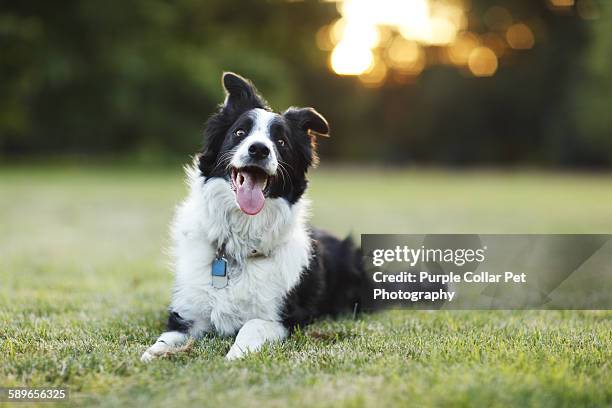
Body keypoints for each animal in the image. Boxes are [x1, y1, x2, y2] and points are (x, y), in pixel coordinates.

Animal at [141, 71, 368, 362]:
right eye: (240, 132)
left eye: (281, 142)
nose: (259, 149)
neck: (238, 246)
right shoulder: (186, 314)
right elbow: (164, 339)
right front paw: (152, 356)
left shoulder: (285, 318)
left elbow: (251, 325)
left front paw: (233, 356)